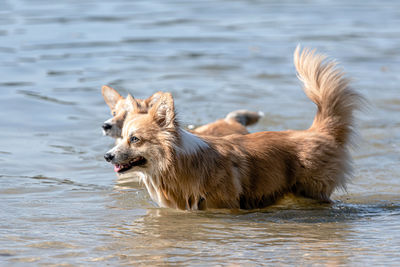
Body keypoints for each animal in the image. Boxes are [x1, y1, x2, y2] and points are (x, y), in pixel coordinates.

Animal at [104, 47, 366, 211]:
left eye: (135, 139)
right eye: (122, 137)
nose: (107, 156)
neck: (177, 163)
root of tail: (318, 132)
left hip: (311, 191)